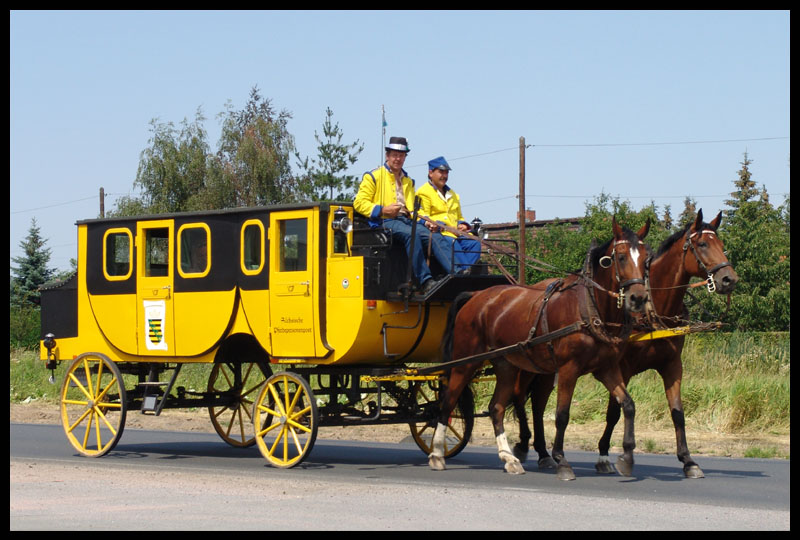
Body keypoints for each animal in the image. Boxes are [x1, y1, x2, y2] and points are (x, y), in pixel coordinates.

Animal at [432, 217, 648, 478]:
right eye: (621, 257)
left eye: (646, 258)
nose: (638, 298)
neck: (588, 307)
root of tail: (475, 296)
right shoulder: (568, 369)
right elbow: (562, 415)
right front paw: (561, 460)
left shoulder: (606, 369)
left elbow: (628, 405)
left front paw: (626, 457)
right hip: (466, 362)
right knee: (448, 401)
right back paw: (437, 454)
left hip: (506, 366)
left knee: (496, 408)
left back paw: (509, 458)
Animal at [516, 209, 740, 478]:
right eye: (703, 244)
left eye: (722, 245)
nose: (728, 279)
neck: (652, 309)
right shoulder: (622, 367)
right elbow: (614, 412)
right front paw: (605, 455)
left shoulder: (672, 365)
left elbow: (677, 412)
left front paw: (688, 460)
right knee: (520, 397)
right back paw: (523, 445)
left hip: (547, 368)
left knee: (537, 405)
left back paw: (541, 452)